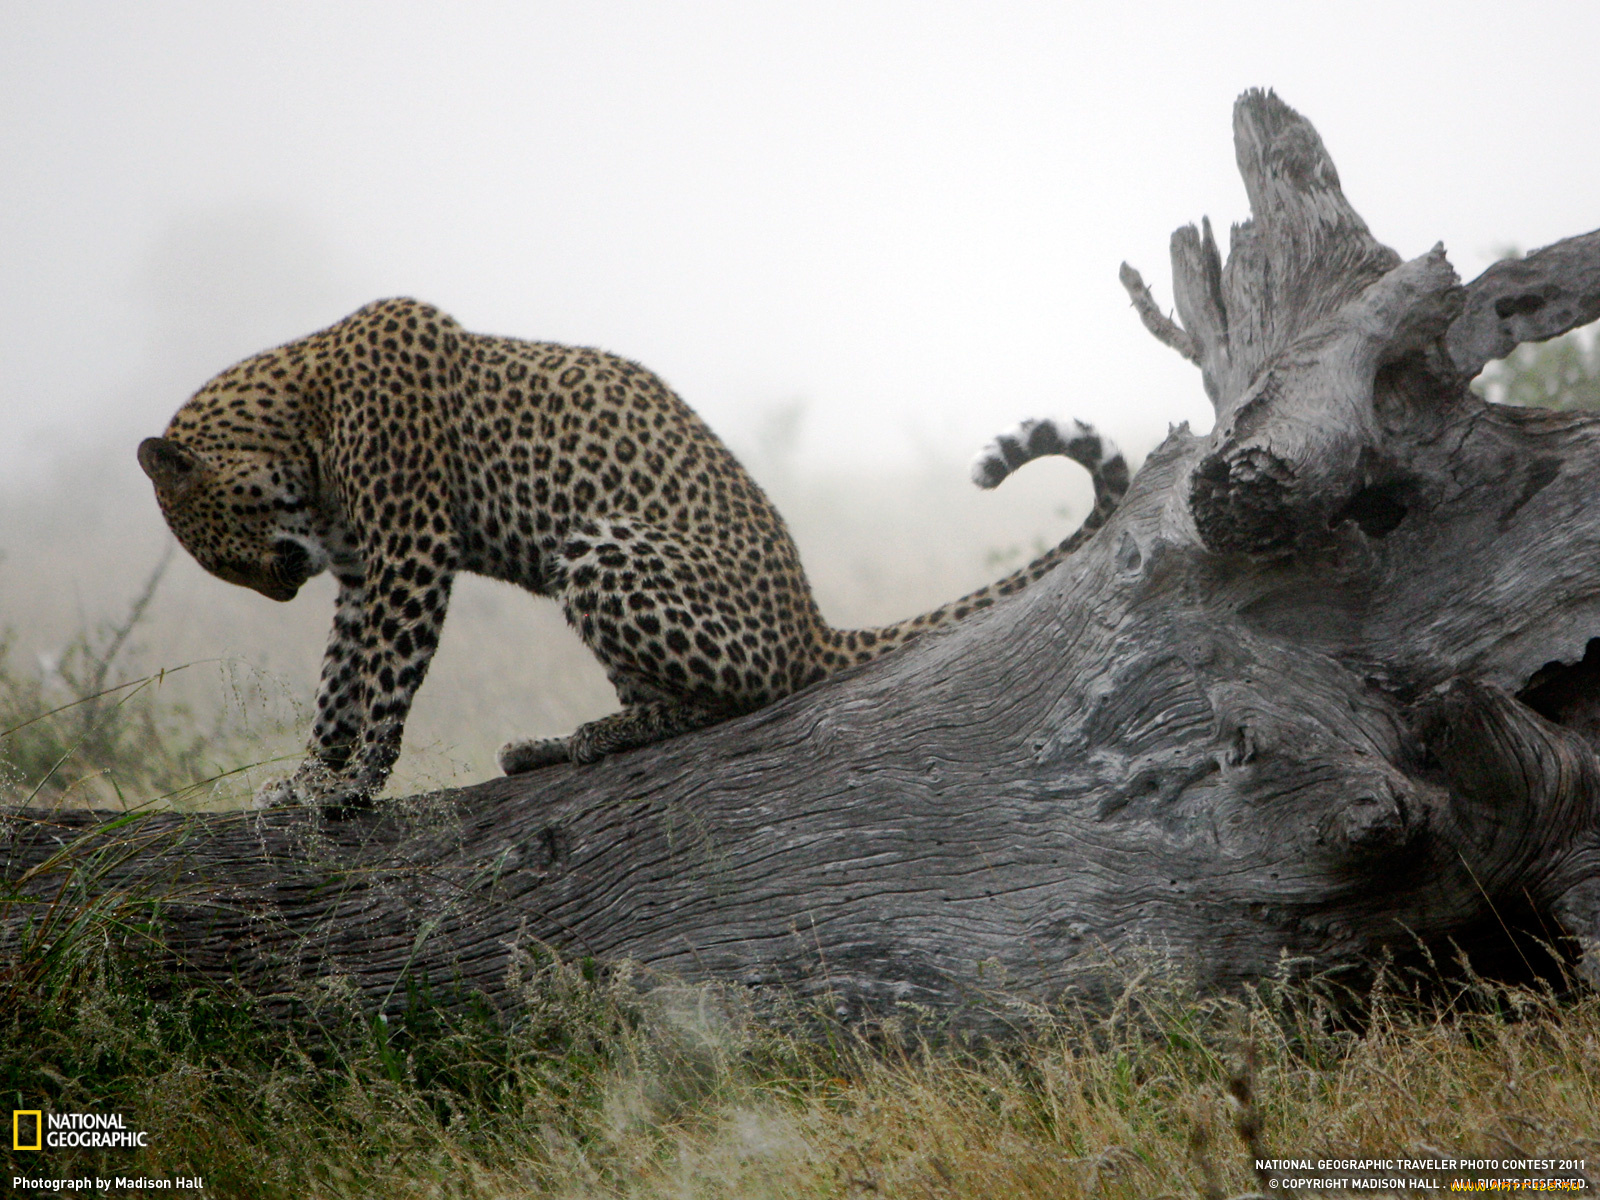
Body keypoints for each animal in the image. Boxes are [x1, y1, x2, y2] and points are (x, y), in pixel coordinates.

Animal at [137, 299, 1132, 809]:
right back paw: (549, 745)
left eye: (219, 555)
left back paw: (596, 735)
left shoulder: (410, 550)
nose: (278, 592)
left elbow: (383, 680)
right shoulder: (356, 571)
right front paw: (308, 776)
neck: (296, 413)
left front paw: (348, 791)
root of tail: (814, 623)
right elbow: (338, 682)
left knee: (737, 701)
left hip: (599, 547)